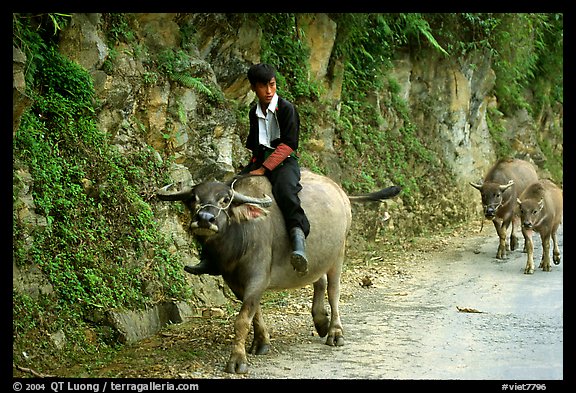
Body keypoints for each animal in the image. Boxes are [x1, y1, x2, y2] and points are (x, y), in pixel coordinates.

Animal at [158, 170, 400, 372]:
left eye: (225, 199)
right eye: (193, 199)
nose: (205, 219)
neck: (240, 237)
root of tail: (341, 193)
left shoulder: (257, 277)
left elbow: (242, 319)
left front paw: (237, 360)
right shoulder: (234, 281)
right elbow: (255, 312)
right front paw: (261, 342)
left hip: (338, 253)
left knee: (334, 291)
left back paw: (335, 332)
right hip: (318, 257)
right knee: (319, 280)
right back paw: (320, 320)